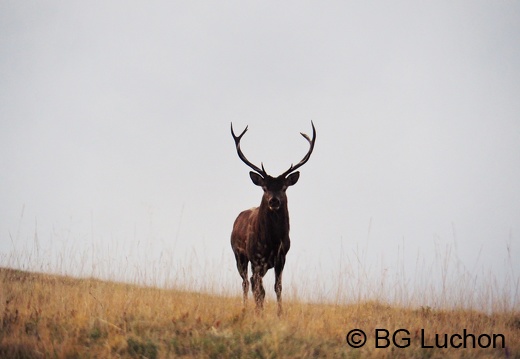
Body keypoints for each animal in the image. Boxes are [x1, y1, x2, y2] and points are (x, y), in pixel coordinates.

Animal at [230, 121, 314, 316]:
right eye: (265, 187)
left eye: (284, 187)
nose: (273, 200)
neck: (272, 241)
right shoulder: (256, 257)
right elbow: (259, 289)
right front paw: (259, 312)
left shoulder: (281, 257)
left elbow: (278, 287)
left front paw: (279, 313)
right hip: (239, 255)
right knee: (247, 282)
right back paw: (246, 308)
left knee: (253, 282)